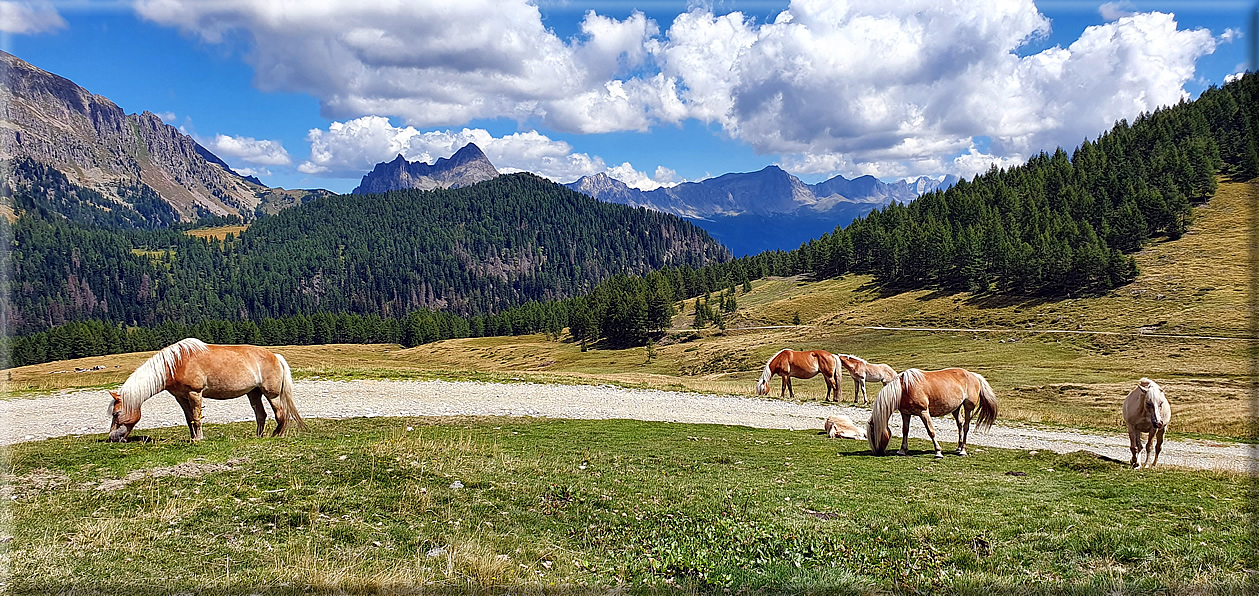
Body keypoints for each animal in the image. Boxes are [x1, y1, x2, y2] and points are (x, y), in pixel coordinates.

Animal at [107, 337, 303, 438]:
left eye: (116, 413)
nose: (112, 437)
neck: (176, 363)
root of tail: (275, 356)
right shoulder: (181, 397)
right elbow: (189, 419)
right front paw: (193, 438)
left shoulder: (195, 393)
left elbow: (197, 417)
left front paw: (199, 438)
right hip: (253, 393)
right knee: (261, 415)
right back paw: (258, 436)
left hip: (271, 394)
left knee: (281, 414)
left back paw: (276, 434)